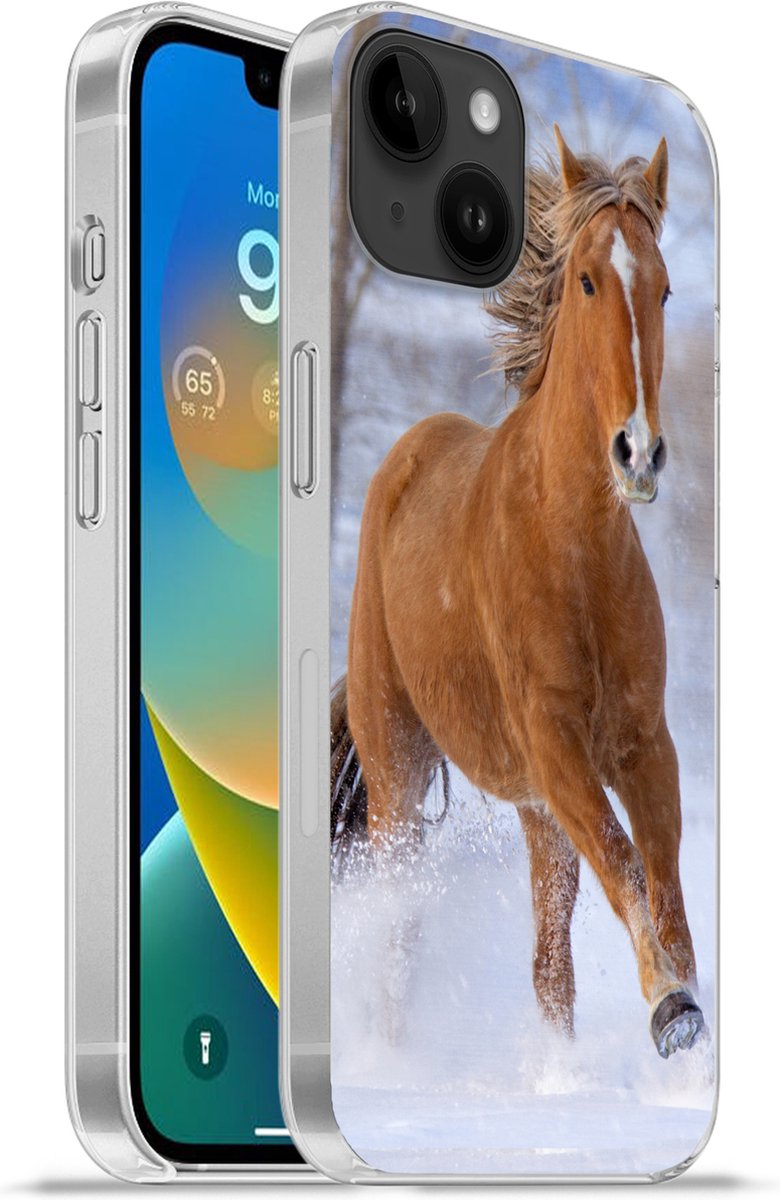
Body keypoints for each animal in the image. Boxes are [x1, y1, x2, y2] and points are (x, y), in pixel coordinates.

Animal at [331, 126, 704, 1059]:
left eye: (666, 288)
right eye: (587, 279)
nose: (638, 453)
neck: (573, 552)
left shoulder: (642, 745)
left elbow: (663, 884)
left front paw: (685, 1018)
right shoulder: (554, 744)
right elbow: (626, 864)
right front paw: (670, 1009)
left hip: (534, 811)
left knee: (549, 965)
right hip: (397, 775)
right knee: (399, 931)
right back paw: (389, 1059)